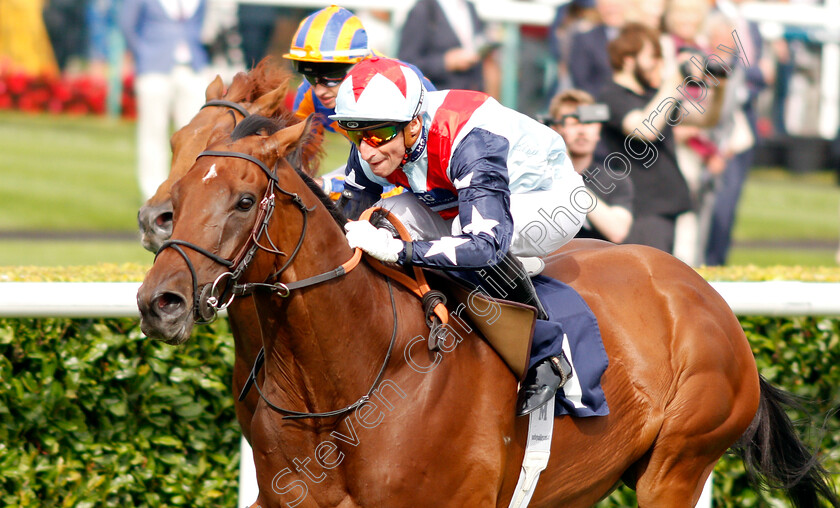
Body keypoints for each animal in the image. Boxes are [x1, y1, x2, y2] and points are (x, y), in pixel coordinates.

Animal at [139, 116, 840, 508]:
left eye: (243, 199)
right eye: (179, 187)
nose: (159, 302)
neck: (348, 379)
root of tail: (706, 297)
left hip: (678, 465)